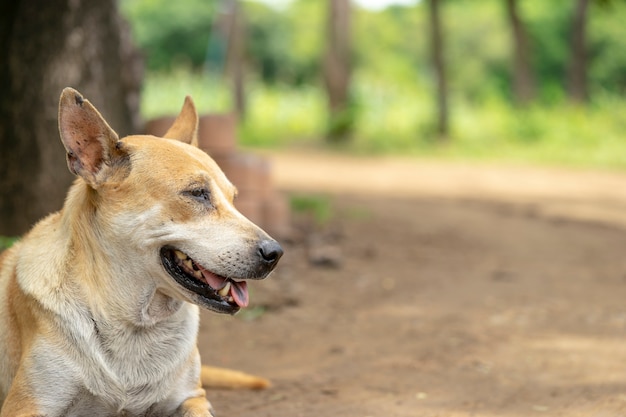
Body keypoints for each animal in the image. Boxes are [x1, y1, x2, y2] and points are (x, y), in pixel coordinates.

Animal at [0, 86, 282, 414]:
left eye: (234, 199)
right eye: (197, 193)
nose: (275, 253)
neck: (136, 324)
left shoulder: (192, 397)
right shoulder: (28, 404)